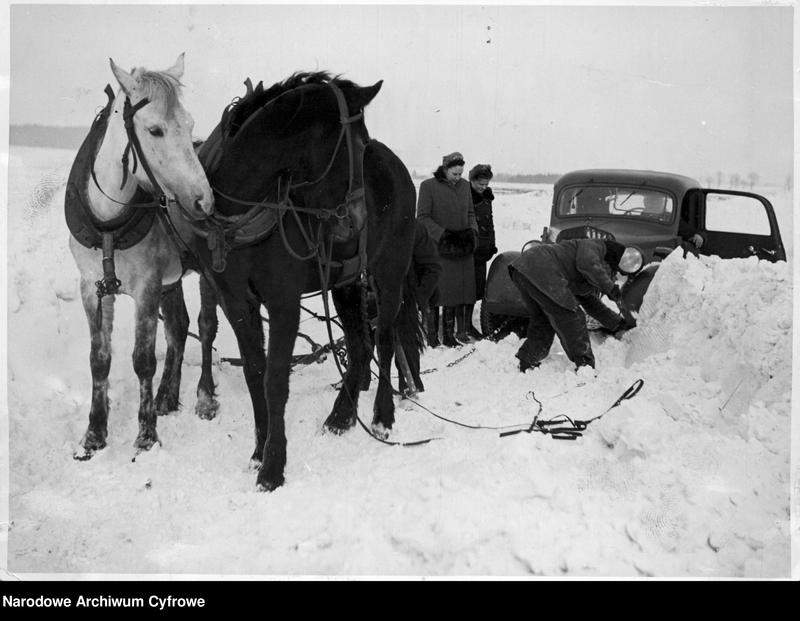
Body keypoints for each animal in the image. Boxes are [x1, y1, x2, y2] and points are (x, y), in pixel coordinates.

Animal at [69, 53, 214, 458]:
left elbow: (143, 360)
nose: (204, 202)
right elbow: (99, 360)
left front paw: (146, 435)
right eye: (155, 130)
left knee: (206, 328)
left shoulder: (147, 287)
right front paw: (95, 433)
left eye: (188, 124)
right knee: (178, 327)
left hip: (208, 271)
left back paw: (204, 397)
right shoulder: (92, 288)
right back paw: (168, 396)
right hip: (172, 278)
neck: (107, 222)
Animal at [184, 72, 418, 490]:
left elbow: (276, 379)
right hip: (344, 280)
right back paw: (341, 416)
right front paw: (259, 450)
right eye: (358, 143)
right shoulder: (235, 300)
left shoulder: (284, 302)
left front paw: (273, 466)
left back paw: (381, 415)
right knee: (359, 345)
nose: (356, 219)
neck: (244, 210)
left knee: (385, 340)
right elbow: (255, 372)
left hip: (389, 272)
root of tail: (400, 169)